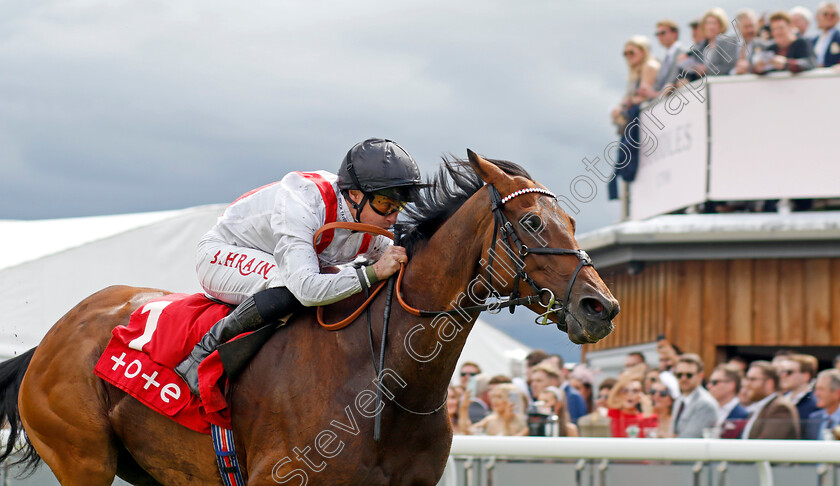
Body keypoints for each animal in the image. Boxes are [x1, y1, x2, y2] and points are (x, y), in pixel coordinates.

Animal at [0, 150, 616, 484]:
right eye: (533, 223)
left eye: (571, 221)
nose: (601, 306)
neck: (383, 382)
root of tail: (49, 340)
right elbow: (297, 282)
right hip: (82, 458)